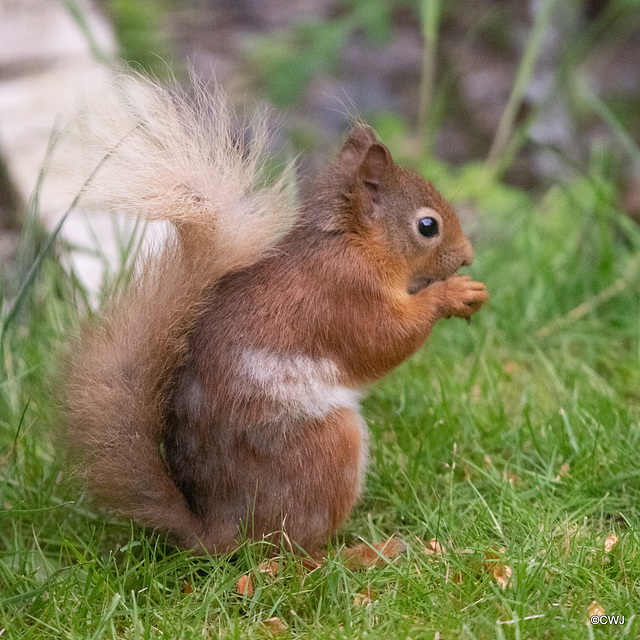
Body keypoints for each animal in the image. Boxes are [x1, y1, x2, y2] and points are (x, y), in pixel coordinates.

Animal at [63, 74, 484, 556]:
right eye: (427, 226)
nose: (468, 256)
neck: (351, 243)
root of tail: (220, 531)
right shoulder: (345, 294)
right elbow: (385, 339)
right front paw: (452, 293)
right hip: (324, 448)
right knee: (296, 552)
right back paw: (365, 554)